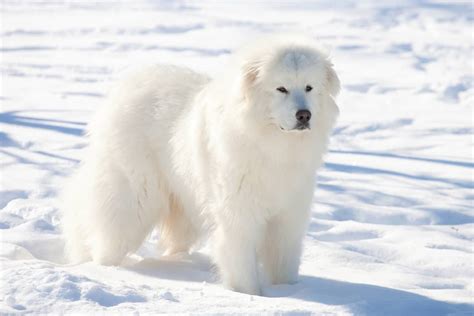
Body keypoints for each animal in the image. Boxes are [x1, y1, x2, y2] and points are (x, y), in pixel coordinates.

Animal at [62, 35, 340, 296]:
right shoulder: (238, 213)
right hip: (134, 199)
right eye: (281, 88)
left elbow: (284, 261)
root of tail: (124, 88)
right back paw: (104, 271)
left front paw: (288, 291)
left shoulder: (288, 216)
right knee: (110, 237)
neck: (272, 145)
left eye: (309, 87)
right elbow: (241, 261)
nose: (304, 115)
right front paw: (248, 295)